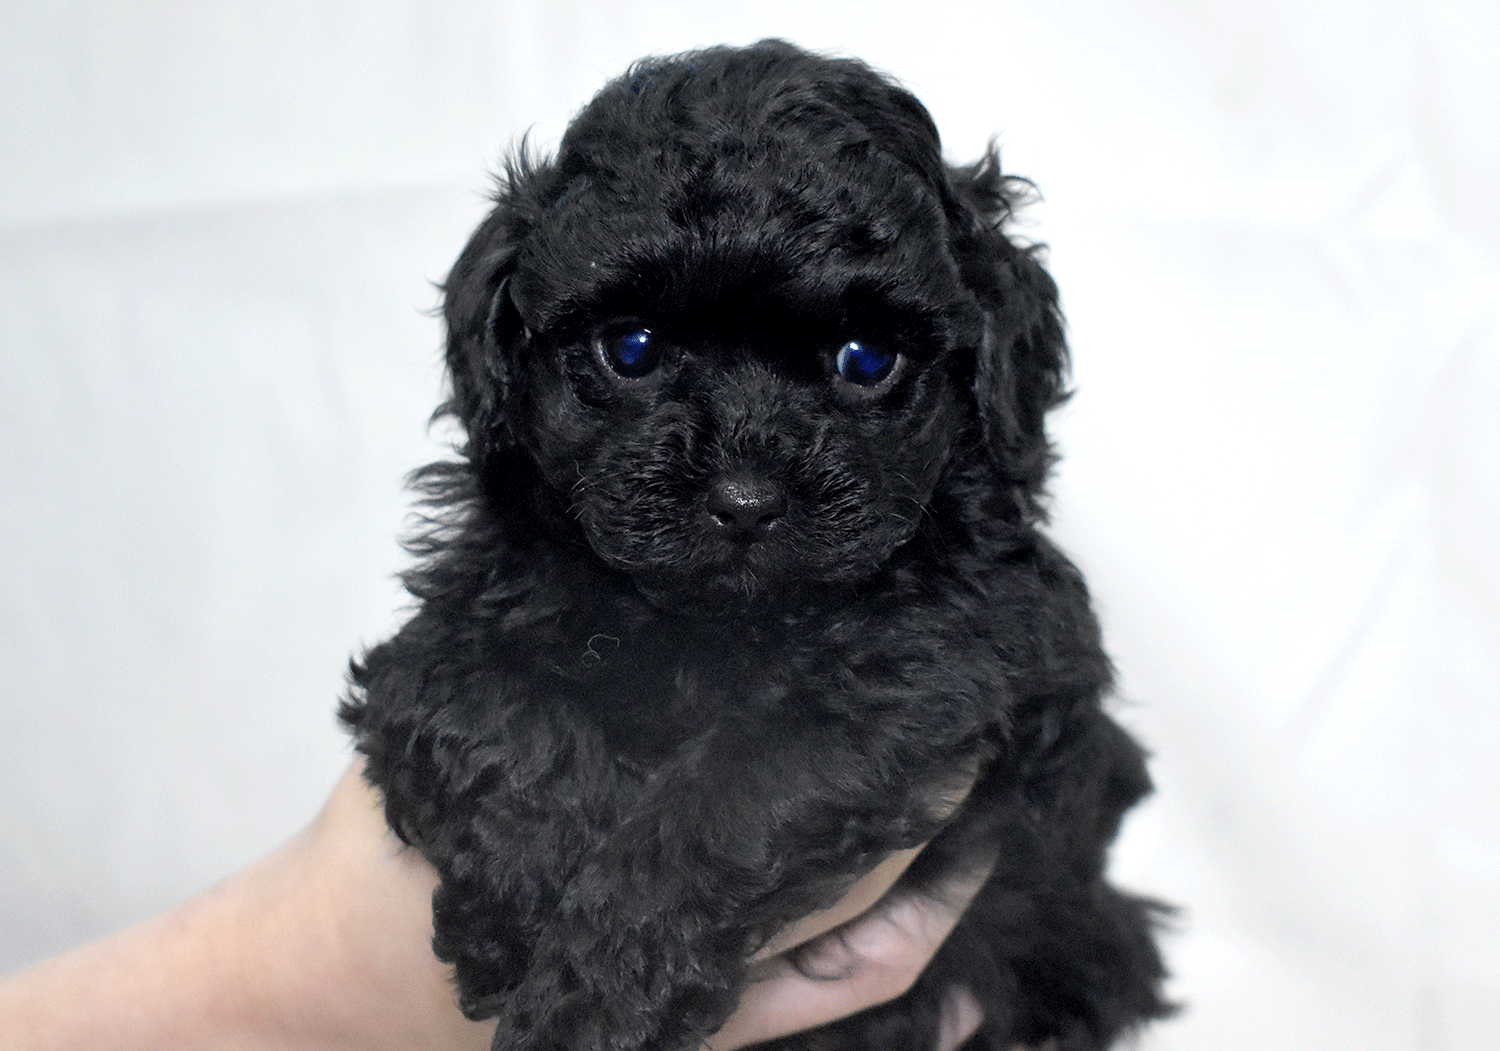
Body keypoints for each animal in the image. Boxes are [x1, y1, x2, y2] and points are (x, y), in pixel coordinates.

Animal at [340, 40, 1171, 1051]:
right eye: (631, 347)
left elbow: (724, 802)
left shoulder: (944, 653)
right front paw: (519, 915)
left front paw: (595, 998)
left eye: (866, 359)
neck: (710, 623)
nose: (743, 501)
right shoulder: (461, 615)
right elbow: (480, 720)